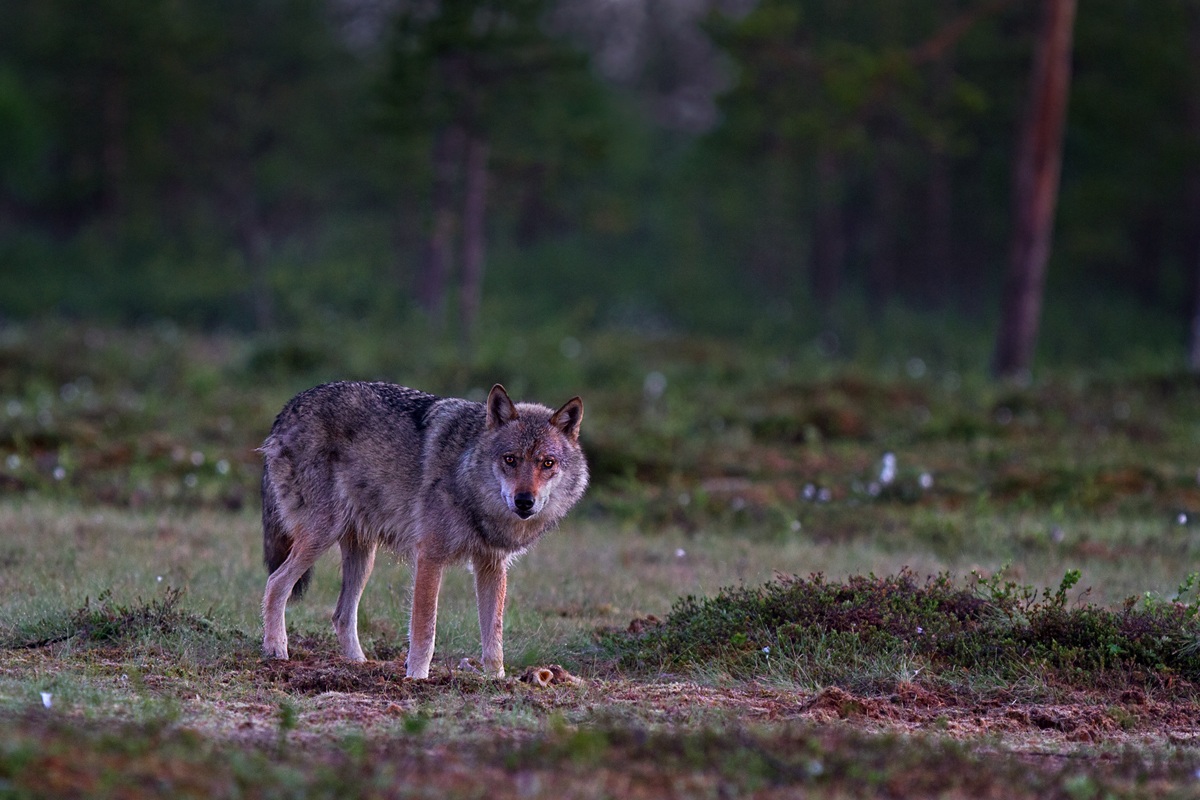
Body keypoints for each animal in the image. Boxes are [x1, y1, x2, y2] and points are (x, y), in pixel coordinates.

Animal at [259, 382, 587, 678]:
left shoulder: (491, 564)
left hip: (363, 557)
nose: (524, 501)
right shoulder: (430, 557)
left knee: (341, 615)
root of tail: (289, 407)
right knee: (275, 584)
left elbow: (493, 637)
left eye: (548, 463)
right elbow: (424, 632)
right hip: (322, 534)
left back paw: (359, 665)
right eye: (510, 459)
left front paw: (497, 680)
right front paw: (416, 678)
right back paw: (277, 651)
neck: (467, 482)